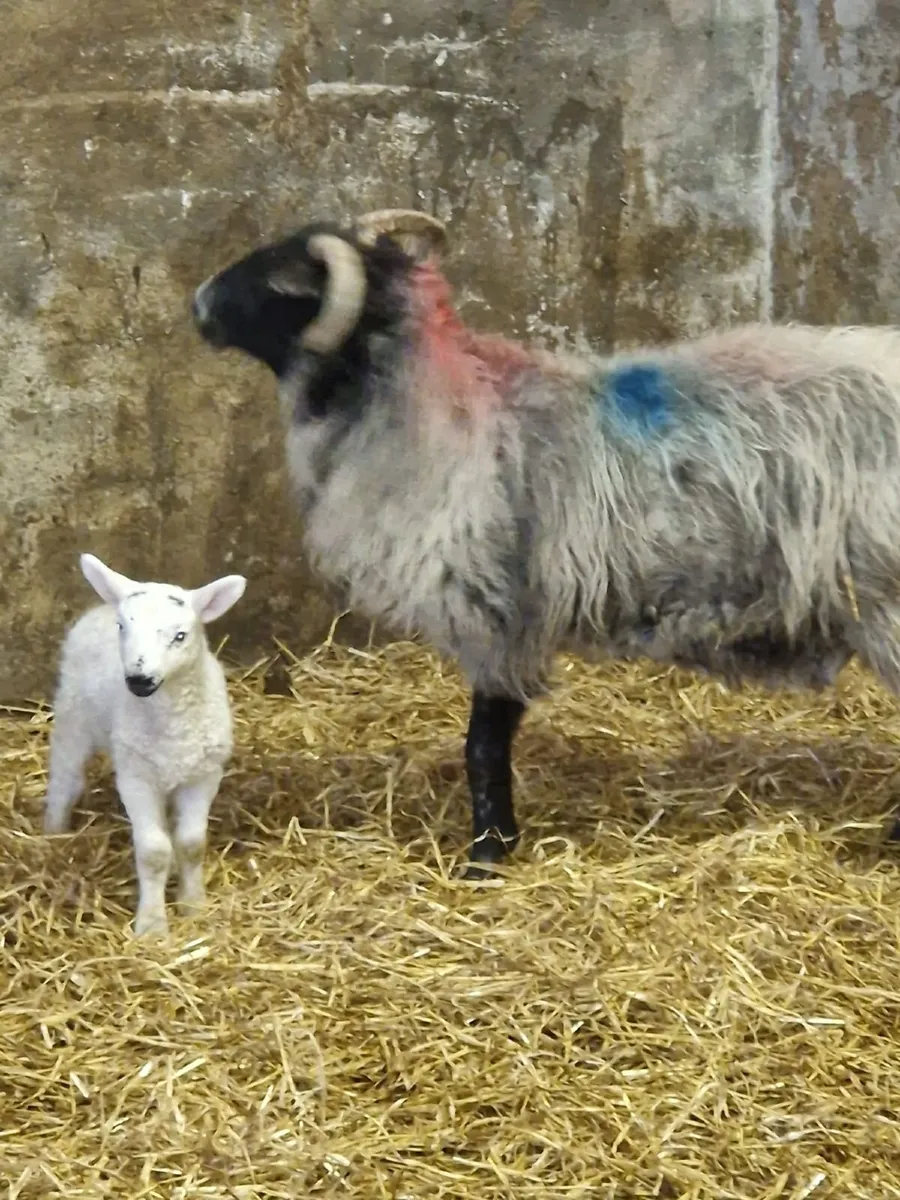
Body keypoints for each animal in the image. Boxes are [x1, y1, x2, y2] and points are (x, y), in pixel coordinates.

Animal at [43, 553, 247, 934]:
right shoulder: (136, 777)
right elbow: (153, 852)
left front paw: (193, 904)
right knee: (64, 778)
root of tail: (100, 607)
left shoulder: (204, 775)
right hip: (73, 715)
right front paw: (152, 924)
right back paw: (53, 834)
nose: (139, 679)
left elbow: (191, 844)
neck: (171, 720)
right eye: (123, 627)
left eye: (180, 636)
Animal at [191, 207, 900, 877]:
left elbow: (483, 742)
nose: (197, 304)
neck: (432, 406)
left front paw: (487, 855)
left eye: (285, 280)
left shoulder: (496, 613)